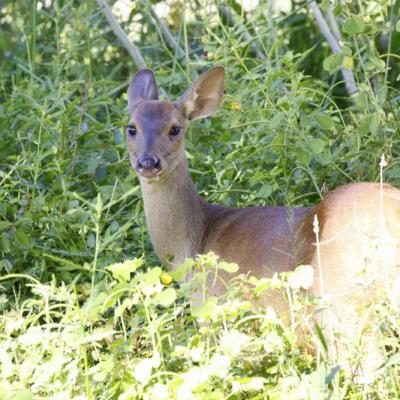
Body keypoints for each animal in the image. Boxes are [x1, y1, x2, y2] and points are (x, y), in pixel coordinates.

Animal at [126, 66, 400, 382]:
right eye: (131, 127)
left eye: (175, 128)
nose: (148, 162)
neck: (195, 242)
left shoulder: (215, 314)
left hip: (342, 304)